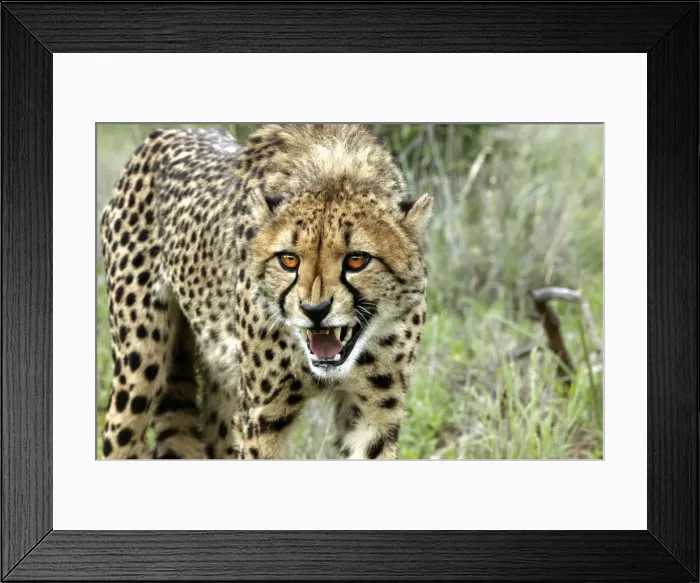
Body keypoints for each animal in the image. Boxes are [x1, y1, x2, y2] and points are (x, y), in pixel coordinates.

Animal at [99, 123, 432, 460]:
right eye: (289, 259)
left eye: (357, 259)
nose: (315, 311)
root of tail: (169, 132)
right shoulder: (263, 415)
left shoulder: (374, 412)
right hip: (138, 369)